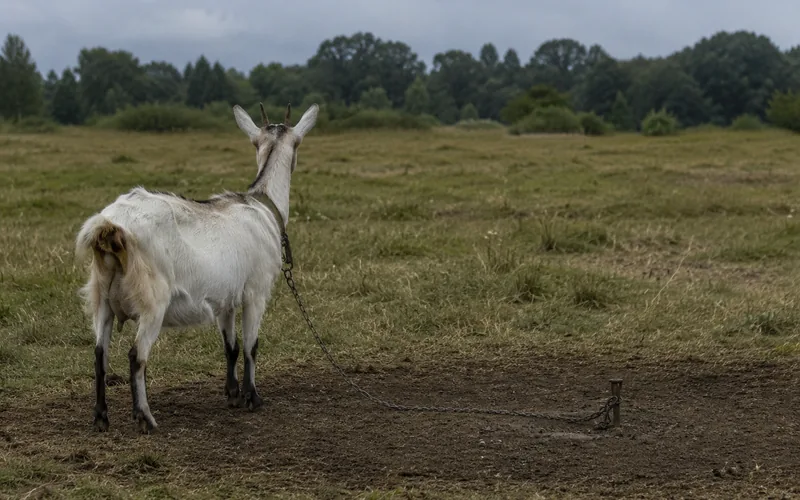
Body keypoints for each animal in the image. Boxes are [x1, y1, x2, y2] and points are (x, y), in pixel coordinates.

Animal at [75, 102, 319, 433]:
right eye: (298, 145)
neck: (262, 204)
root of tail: (110, 227)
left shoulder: (225, 298)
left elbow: (231, 345)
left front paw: (232, 394)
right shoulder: (255, 292)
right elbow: (251, 345)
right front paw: (252, 398)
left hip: (101, 297)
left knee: (100, 353)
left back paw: (101, 417)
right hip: (152, 301)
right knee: (137, 355)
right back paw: (145, 417)